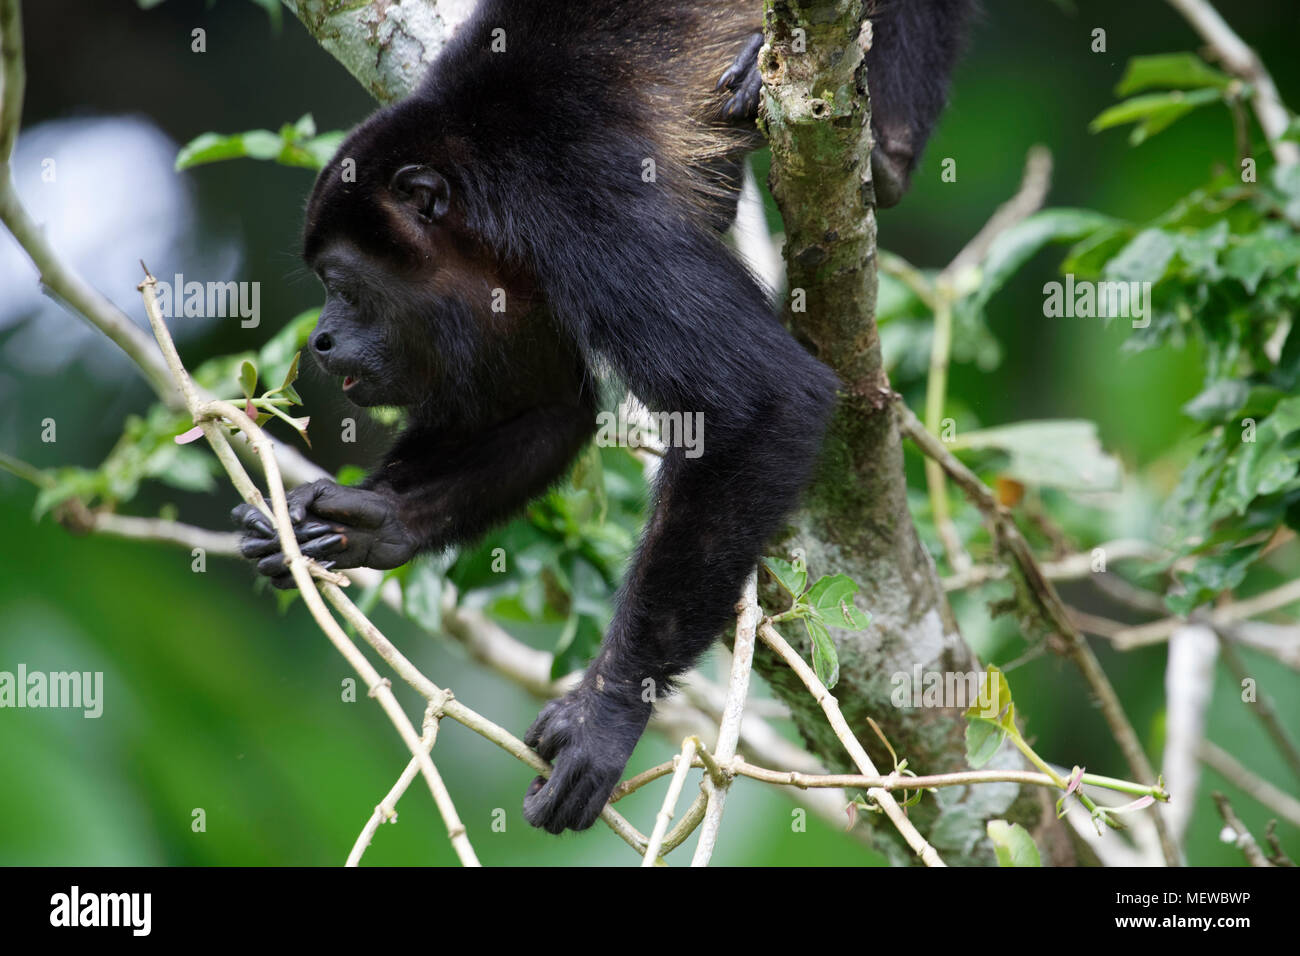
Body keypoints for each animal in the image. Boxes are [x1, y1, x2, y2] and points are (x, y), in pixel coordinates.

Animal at [233, 0, 972, 832]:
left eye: (341, 281)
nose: (321, 341)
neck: (479, 186)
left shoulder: (582, 207)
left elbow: (758, 400)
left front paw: (606, 716)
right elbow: (547, 408)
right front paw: (360, 519)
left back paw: (880, 152)